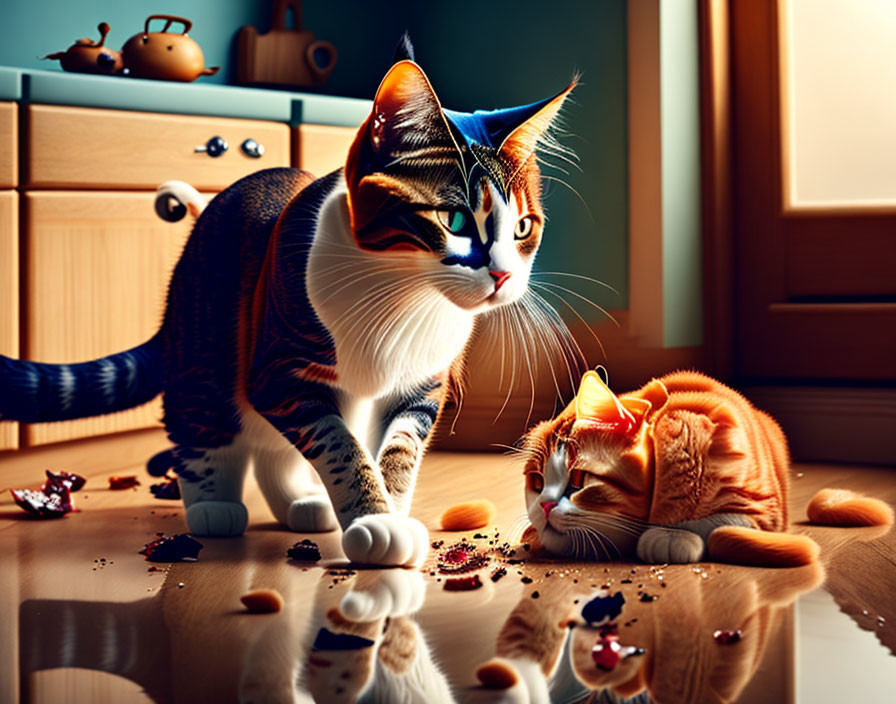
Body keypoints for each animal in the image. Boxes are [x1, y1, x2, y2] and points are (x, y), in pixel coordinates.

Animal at [0, 48, 576, 568]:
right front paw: (375, 522)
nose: (503, 275)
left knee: (273, 447)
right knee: (203, 421)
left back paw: (301, 503)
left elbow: (397, 453)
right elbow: (340, 447)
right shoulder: (283, 369)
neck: (406, 300)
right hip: (210, 344)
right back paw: (213, 506)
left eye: (523, 227)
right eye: (453, 220)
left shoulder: (420, 384)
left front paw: (390, 512)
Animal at [520, 372, 892, 564]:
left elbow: (716, 523)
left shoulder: (759, 506)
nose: (545, 505)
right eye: (537, 482)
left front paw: (670, 536)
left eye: (579, 479)